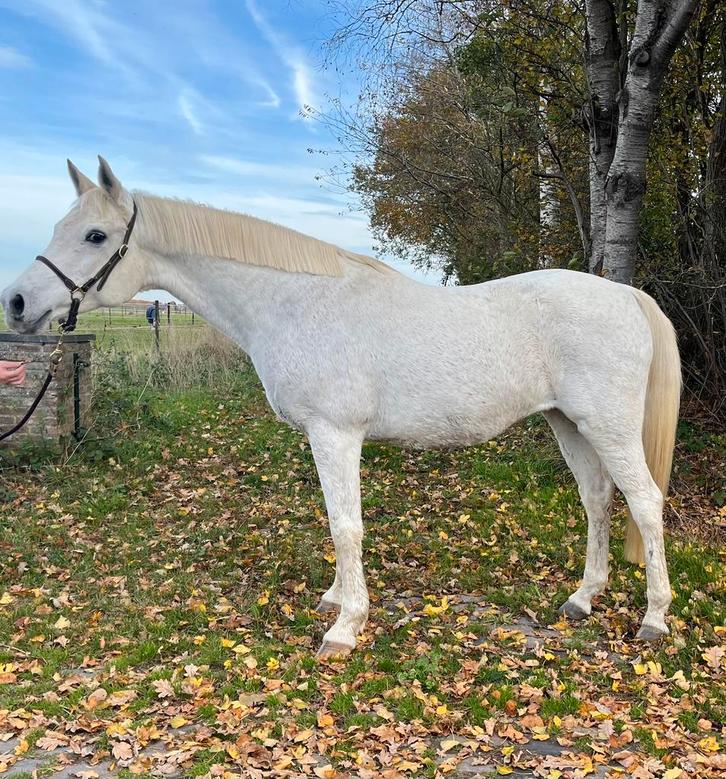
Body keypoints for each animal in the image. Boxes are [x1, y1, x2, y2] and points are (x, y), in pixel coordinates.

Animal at [1, 157, 681, 657]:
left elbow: (345, 525)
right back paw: (582, 599)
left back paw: (653, 619)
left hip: (607, 425)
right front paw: (335, 599)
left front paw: (345, 626)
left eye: (96, 236)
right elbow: (339, 523)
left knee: (645, 503)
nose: (17, 303)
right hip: (570, 424)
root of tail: (625, 295)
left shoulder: (335, 433)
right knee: (598, 500)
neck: (296, 303)